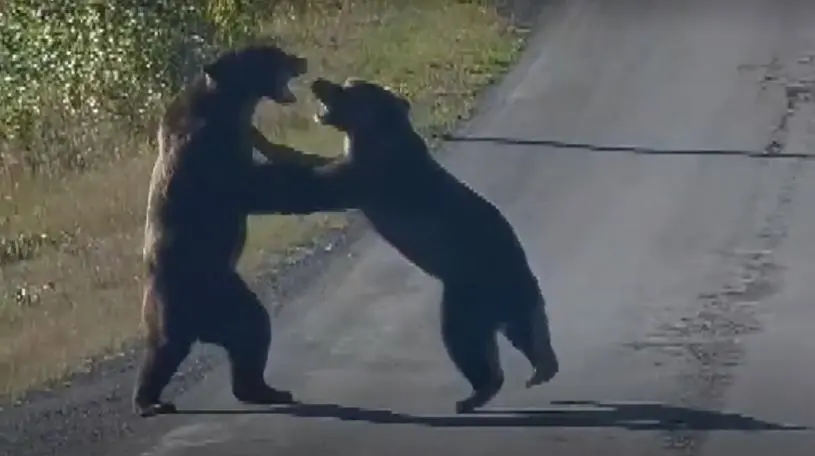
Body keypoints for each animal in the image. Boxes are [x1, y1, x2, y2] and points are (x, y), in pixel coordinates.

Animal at [133, 43, 356, 418]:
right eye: (274, 55)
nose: (300, 59)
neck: (230, 106)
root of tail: (203, 325)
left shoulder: (242, 137)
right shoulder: (211, 156)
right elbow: (259, 185)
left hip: (229, 296)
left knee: (252, 330)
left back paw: (264, 389)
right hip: (174, 298)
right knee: (163, 348)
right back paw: (149, 401)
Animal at [309, 77, 560, 414]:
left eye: (346, 89)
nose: (317, 82)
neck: (378, 130)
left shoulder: (373, 172)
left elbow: (330, 186)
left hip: (471, 292)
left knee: (465, 341)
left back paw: (476, 394)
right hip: (503, 298)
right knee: (523, 331)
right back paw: (539, 370)